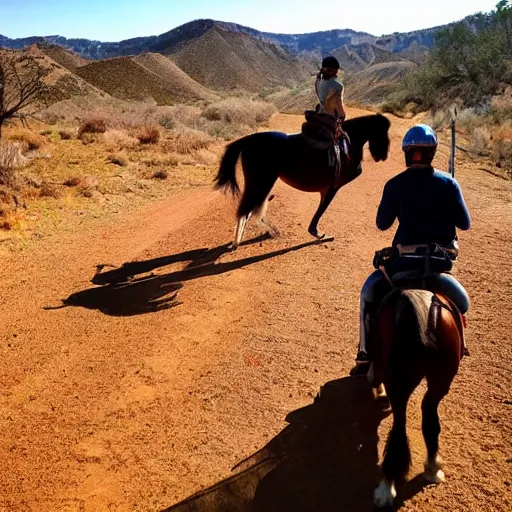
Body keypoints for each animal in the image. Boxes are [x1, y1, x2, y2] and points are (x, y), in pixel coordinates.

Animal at [214, 113, 390, 248]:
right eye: (383, 133)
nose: (382, 155)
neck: (348, 143)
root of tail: (248, 140)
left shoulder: (328, 189)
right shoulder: (332, 187)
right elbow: (321, 210)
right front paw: (317, 233)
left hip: (261, 182)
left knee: (252, 209)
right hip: (262, 181)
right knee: (247, 209)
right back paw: (239, 240)